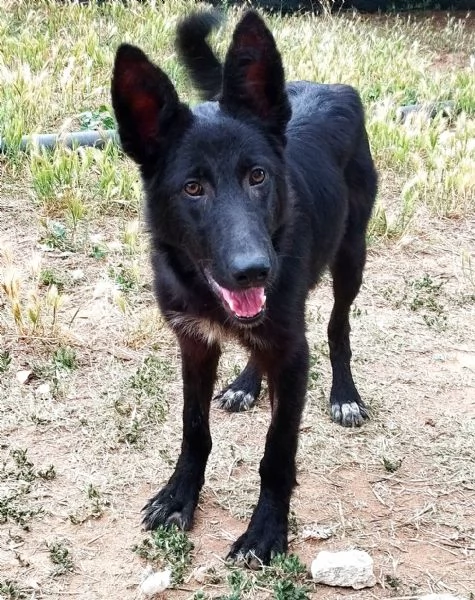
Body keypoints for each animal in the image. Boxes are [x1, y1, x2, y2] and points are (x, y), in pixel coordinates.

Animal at [110, 10, 376, 568]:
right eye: (193, 188)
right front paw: (179, 495)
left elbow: (277, 453)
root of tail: (330, 86)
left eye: (258, 176)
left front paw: (266, 531)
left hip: (351, 257)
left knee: (338, 327)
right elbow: (193, 429)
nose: (255, 271)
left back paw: (345, 394)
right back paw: (247, 383)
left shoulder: (294, 354)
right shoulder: (194, 342)